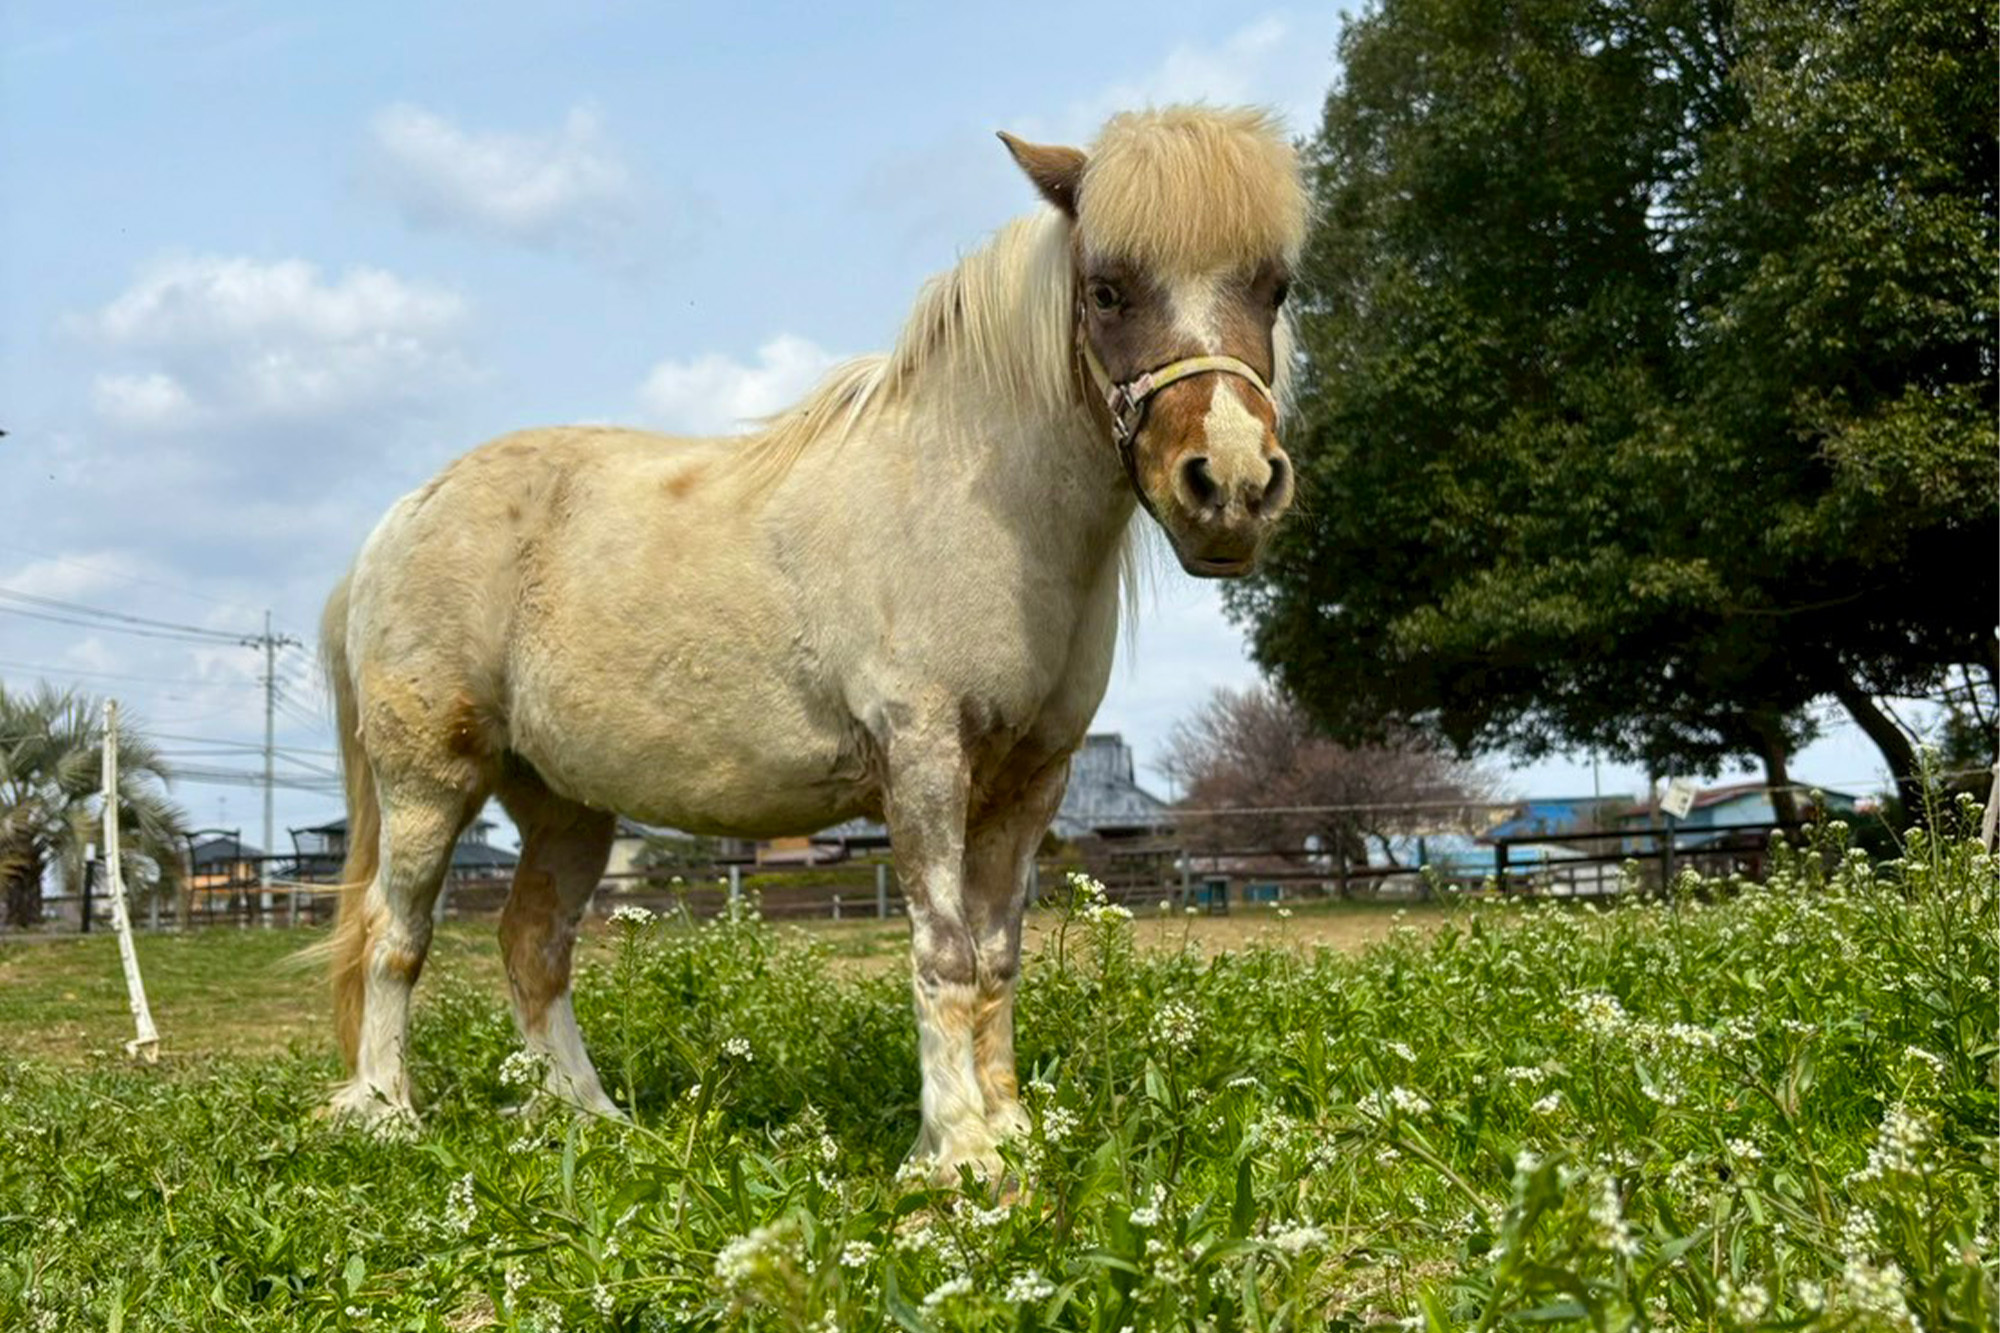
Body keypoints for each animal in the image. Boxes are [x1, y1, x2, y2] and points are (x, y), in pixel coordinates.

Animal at [322, 104, 1306, 1178]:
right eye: (1108, 290)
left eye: (1275, 287)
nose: (1233, 487)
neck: (980, 506)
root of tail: (404, 516)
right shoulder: (924, 757)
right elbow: (945, 949)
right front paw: (959, 1153)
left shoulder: (1032, 780)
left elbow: (998, 953)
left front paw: (1012, 1130)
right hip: (430, 781)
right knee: (395, 931)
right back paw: (388, 1114)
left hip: (564, 803)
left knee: (532, 942)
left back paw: (595, 1119)